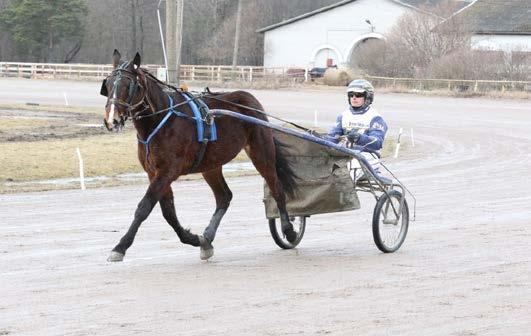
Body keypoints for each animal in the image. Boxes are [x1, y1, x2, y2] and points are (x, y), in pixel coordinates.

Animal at [100, 50, 300, 262]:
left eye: (128, 85)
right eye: (109, 83)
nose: (111, 120)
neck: (161, 120)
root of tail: (251, 99)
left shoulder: (167, 171)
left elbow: (144, 207)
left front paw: (120, 246)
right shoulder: (154, 173)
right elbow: (169, 212)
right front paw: (195, 239)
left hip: (261, 151)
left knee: (276, 187)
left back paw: (289, 231)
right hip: (211, 164)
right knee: (224, 196)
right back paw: (208, 238)